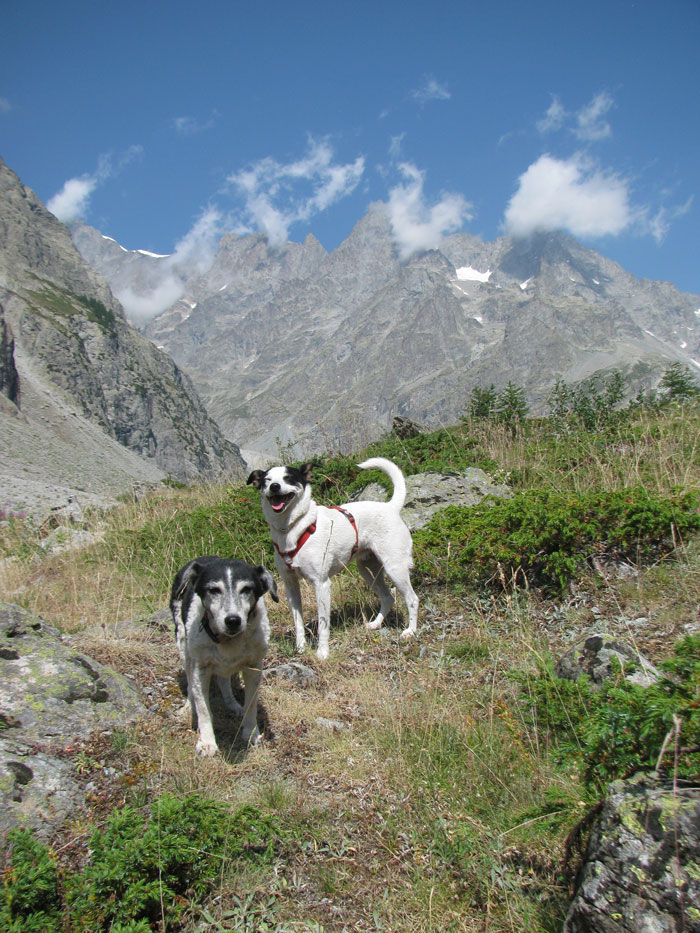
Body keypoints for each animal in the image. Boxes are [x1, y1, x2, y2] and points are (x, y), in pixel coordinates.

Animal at [171, 556, 278, 752]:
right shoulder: (200, 668)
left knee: (223, 680)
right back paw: (188, 707)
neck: (228, 640)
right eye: (213, 590)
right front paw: (207, 742)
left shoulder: (254, 667)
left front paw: (251, 733)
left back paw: (232, 704)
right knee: (190, 684)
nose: (233, 620)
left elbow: (251, 704)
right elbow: (203, 708)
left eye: (246, 589)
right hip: (184, 647)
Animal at [247, 456, 418, 660]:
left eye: (289, 478)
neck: (292, 529)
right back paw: (376, 624)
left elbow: (323, 624)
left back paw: (410, 632)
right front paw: (300, 648)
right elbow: (298, 622)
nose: (274, 486)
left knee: (412, 599)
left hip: (394, 568)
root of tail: (390, 507)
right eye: (266, 480)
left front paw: (322, 653)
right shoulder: (291, 586)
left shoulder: (321, 584)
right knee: (387, 598)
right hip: (368, 570)